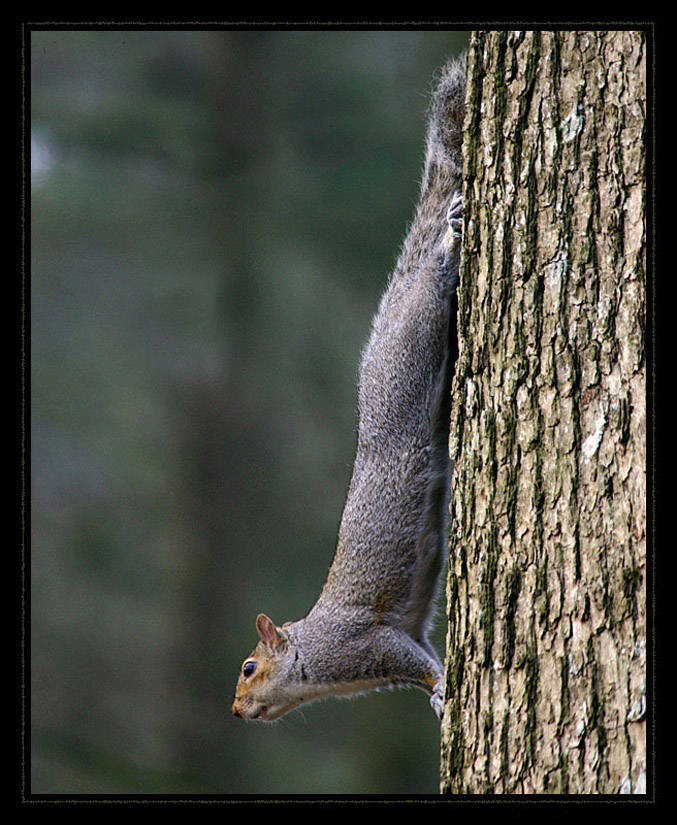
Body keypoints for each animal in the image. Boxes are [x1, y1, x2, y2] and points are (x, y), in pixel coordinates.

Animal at [232, 56, 464, 720]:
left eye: (250, 667)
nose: (235, 709)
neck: (316, 662)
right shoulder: (399, 640)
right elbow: (423, 654)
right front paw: (437, 698)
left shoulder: (366, 644)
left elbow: (419, 662)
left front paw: (444, 690)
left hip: (412, 343)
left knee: (430, 286)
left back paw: (448, 240)